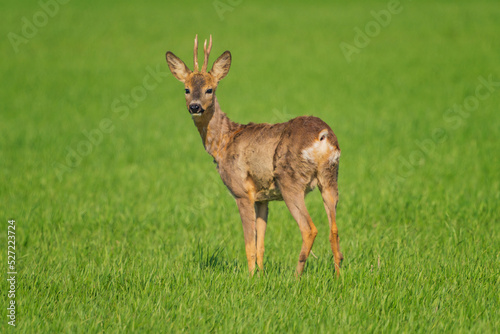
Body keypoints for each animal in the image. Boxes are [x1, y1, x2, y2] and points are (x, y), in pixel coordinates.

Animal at [166, 36, 342, 276]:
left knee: (309, 228)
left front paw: (249, 277)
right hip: (330, 178)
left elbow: (249, 242)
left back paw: (296, 276)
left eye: (210, 89)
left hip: (290, 181)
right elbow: (261, 243)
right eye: (186, 89)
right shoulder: (262, 198)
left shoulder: (242, 192)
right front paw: (260, 274)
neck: (223, 142)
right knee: (334, 230)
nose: (195, 107)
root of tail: (323, 135)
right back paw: (338, 276)